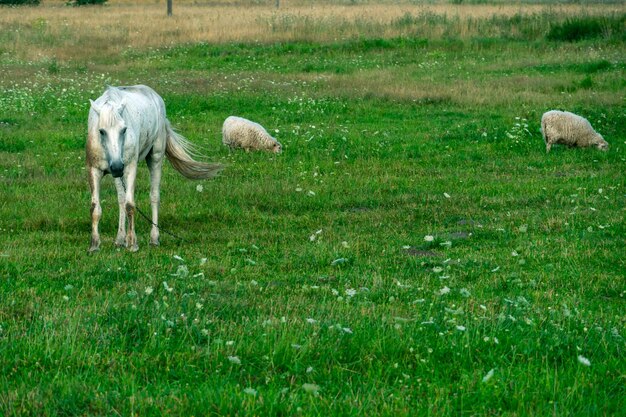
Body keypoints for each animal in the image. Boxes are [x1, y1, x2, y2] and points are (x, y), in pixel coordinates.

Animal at [84, 85, 222, 250]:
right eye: (101, 131)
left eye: (124, 130)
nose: (117, 166)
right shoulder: (94, 170)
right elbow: (95, 208)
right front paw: (94, 245)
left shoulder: (130, 168)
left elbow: (130, 205)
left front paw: (132, 244)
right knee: (121, 199)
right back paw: (119, 239)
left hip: (155, 157)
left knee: (154, 196)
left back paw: (154, 238)